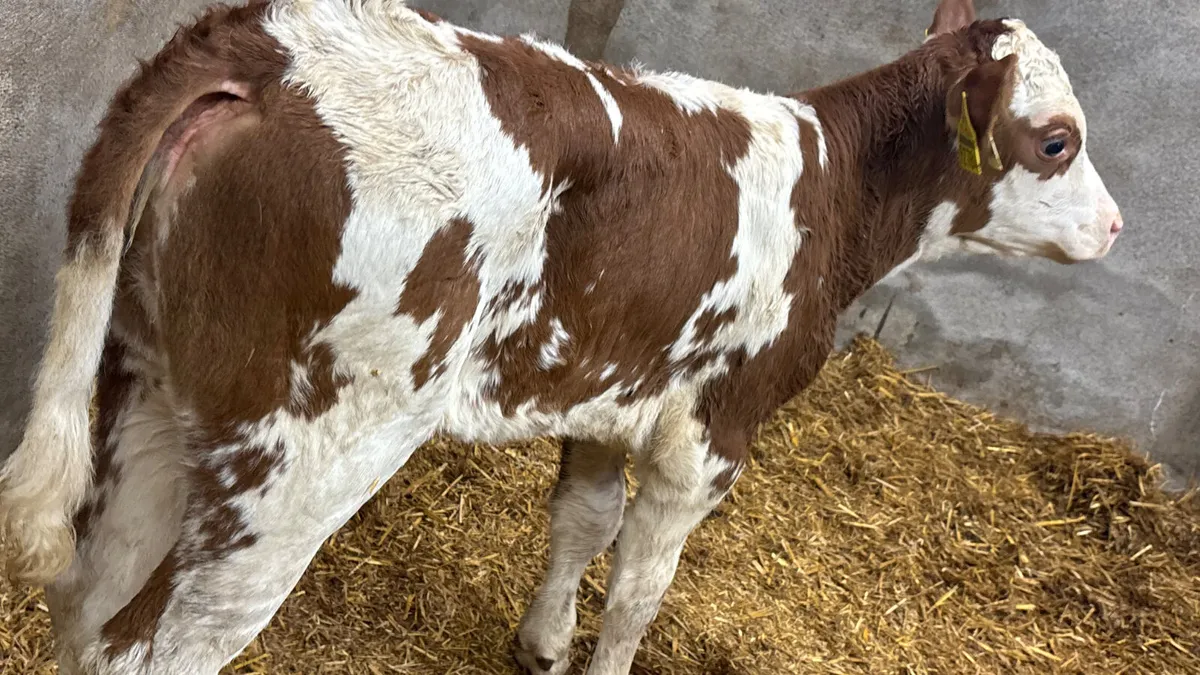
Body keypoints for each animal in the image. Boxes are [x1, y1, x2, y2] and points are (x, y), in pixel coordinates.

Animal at [0, 0, 1122, 672]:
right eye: (1055, 141)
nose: (1114, 227)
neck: (830, 189)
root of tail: (271, 44)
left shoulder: (614, 388)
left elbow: (581, 521)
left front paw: (541, 645)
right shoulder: (712, 431)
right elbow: (640, 584)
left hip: (150, 380)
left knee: (88, 599)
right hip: (306, 449)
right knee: (173, 637)